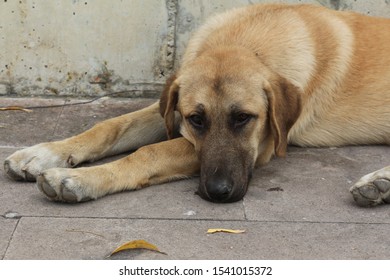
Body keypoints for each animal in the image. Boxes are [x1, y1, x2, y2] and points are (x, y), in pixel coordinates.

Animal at [3, 2, 390, 206]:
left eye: (244, 118)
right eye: (196, 119)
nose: (219, 193)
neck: (243, 42)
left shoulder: (263, 146)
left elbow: (149, 153)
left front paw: (79, 179)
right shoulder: (171, 112)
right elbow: (109, 126)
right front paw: (43, 153)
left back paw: (379, 181)